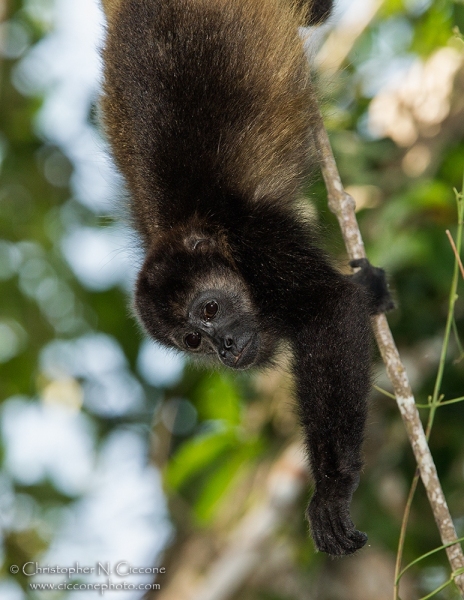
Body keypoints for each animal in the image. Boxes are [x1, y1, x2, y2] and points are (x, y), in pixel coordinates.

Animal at [99, 0, 394, 556]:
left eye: (211, 308)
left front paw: (331, 492)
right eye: (192, 340)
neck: (195, 233)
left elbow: (329, 308)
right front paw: (370, 290)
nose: (228, 349)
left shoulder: (258, 238)